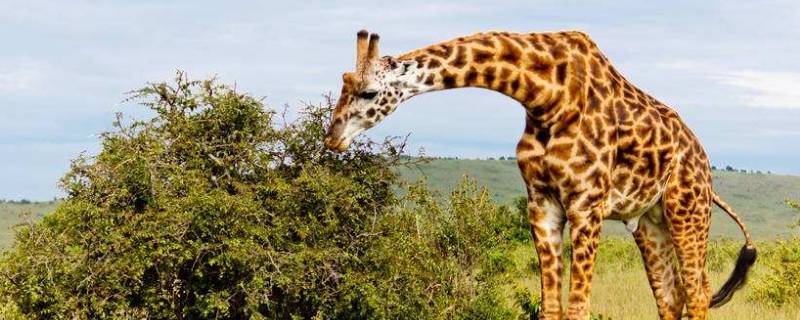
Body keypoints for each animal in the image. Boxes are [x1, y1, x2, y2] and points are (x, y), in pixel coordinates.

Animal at [324, 30, 756, 320]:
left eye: (367, 93)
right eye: (343, 83)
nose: (332, 138)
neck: (544, 94)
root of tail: (703, 161)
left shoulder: (586, 205)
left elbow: (578, 310)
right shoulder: (542, 203)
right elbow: (551, 310)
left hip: (687, 210)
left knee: (697, 292)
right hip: (650, 221)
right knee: (671, 297)